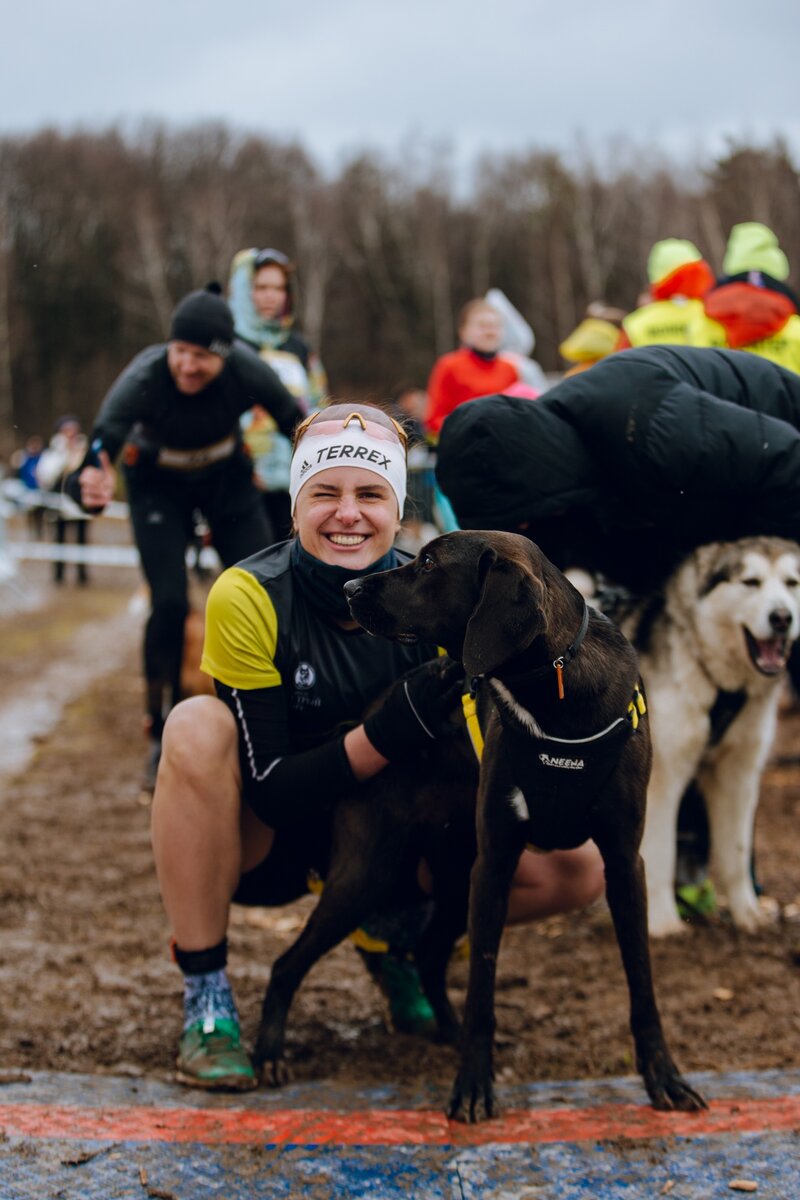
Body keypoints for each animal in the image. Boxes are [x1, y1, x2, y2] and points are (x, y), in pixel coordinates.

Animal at [345, 535, 705, 1123]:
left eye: (427, 562)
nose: (350, 585)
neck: (556, 692)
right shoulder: (494, 863)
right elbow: (482, 990)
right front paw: (472, 1085)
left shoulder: (625, 863)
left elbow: (642, 982)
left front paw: (665, 1077)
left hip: (454, 876)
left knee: (430, 951)